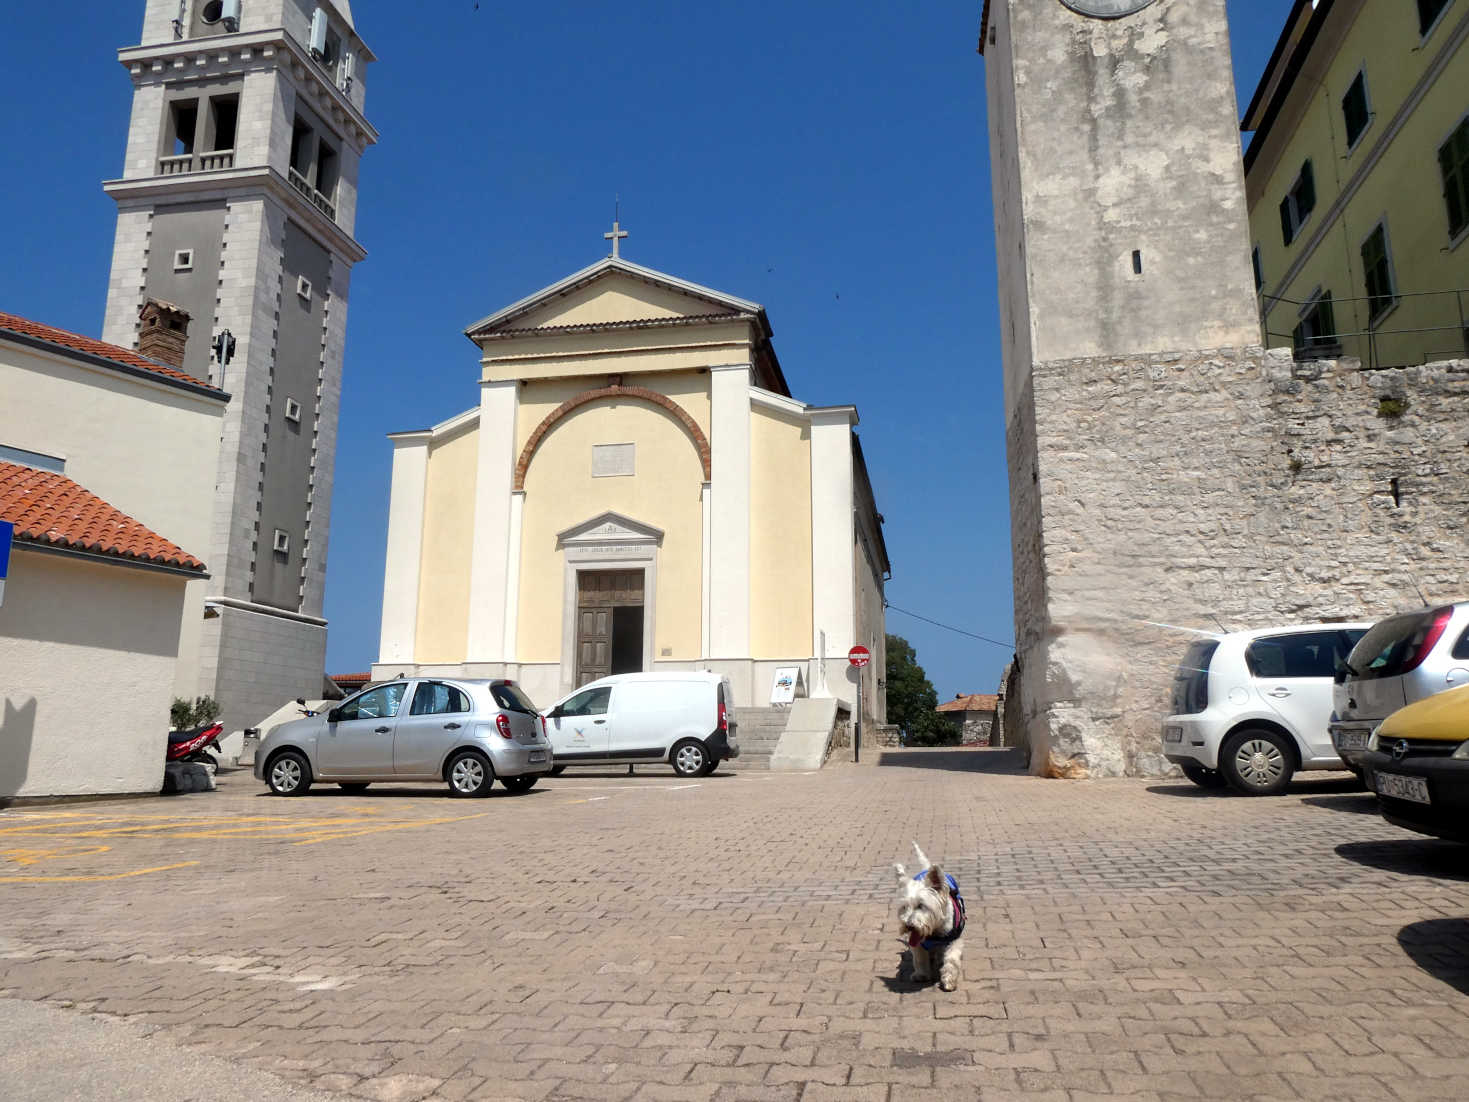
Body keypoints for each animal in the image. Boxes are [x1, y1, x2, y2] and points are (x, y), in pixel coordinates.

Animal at [893, 846, 963, 993]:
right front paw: (921, 975)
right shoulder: (917, 942)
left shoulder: (954, 940)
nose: (908, 926)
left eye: (921, 905)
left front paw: (949, 981)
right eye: (904, 907)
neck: (934, 932)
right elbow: (920, 958)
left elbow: (951, 959)